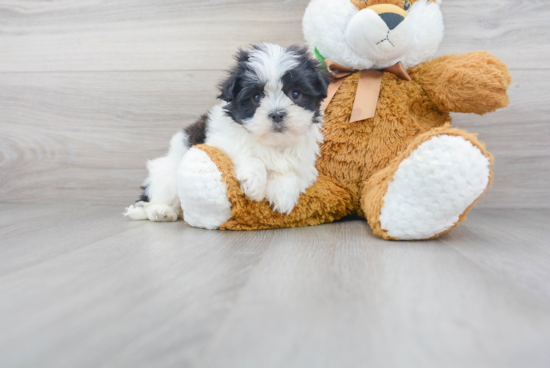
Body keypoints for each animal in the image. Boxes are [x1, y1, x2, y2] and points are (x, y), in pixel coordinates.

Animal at [125, 43, 332, 221]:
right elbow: (250, 156)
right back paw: (162, 211)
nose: (277, 114)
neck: (273, 143)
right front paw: (254, 184)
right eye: (257, 97)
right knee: (158, 195)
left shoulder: (305, 162)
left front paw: (283, 193)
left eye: (295, 94)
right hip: (168, 172)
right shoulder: (221, 141)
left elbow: (291, 171)